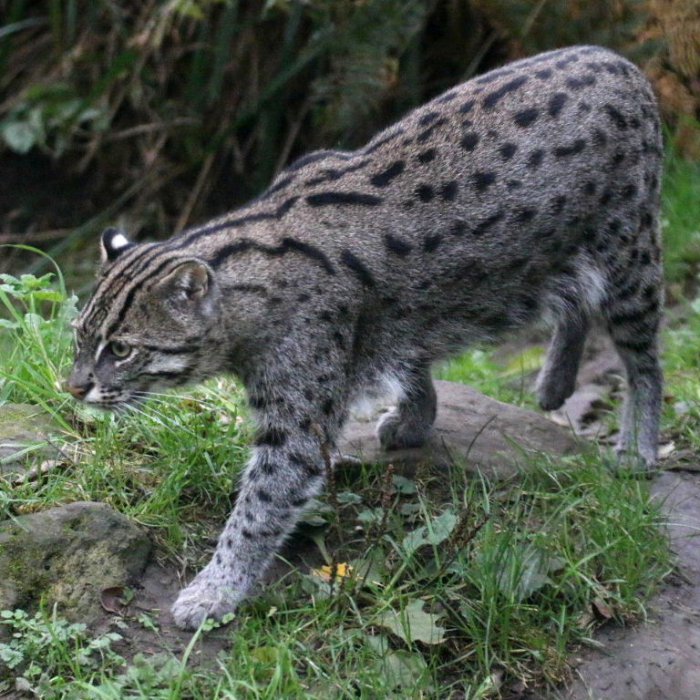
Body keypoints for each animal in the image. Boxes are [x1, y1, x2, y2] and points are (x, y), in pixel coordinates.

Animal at [68, 46, 664, 632]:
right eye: (79, 335)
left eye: (120, 348)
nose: (72, 388)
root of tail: (618, 59)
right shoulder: (391, 322)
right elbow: (411, 357)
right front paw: (416, 416)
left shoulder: (298, 423)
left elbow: (259, 507)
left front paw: (215, 589)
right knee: (575, 301)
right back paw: (555, 381)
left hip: (631, 255)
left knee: (644, 361)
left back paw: (637, 446)